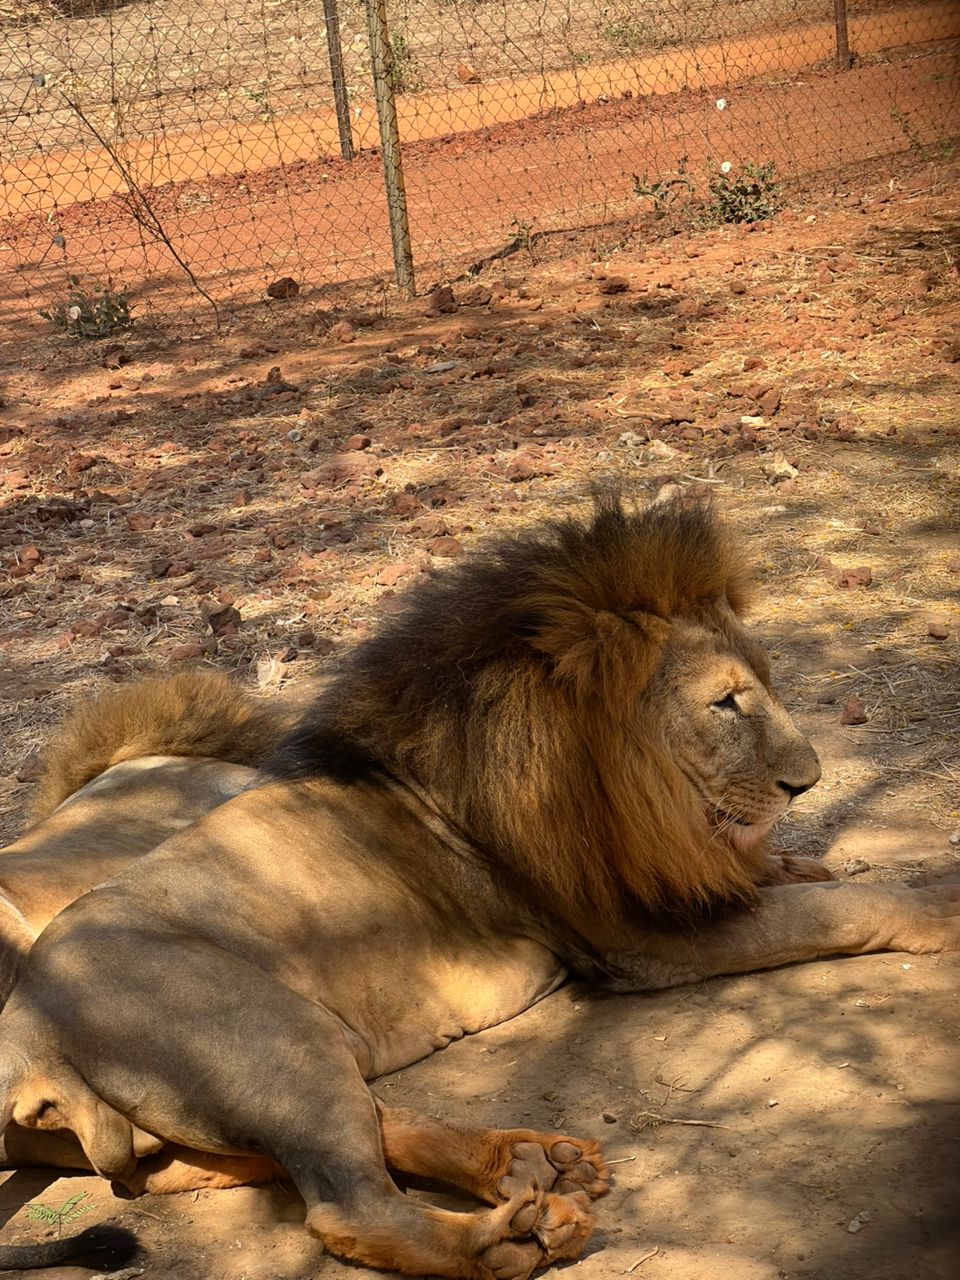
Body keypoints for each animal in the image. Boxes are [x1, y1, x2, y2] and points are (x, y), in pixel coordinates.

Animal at [1, 495, 958, 1278]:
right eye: (727, 703)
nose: (810, 780)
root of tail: (27, 1024)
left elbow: (790, 878)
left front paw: (797, 859)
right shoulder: (639, 942)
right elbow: (844, 906)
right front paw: (935, 900)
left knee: (350, 1136)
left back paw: (536, 1163)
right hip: (274, 1038)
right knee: (349, 1208)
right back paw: (514, 1234)